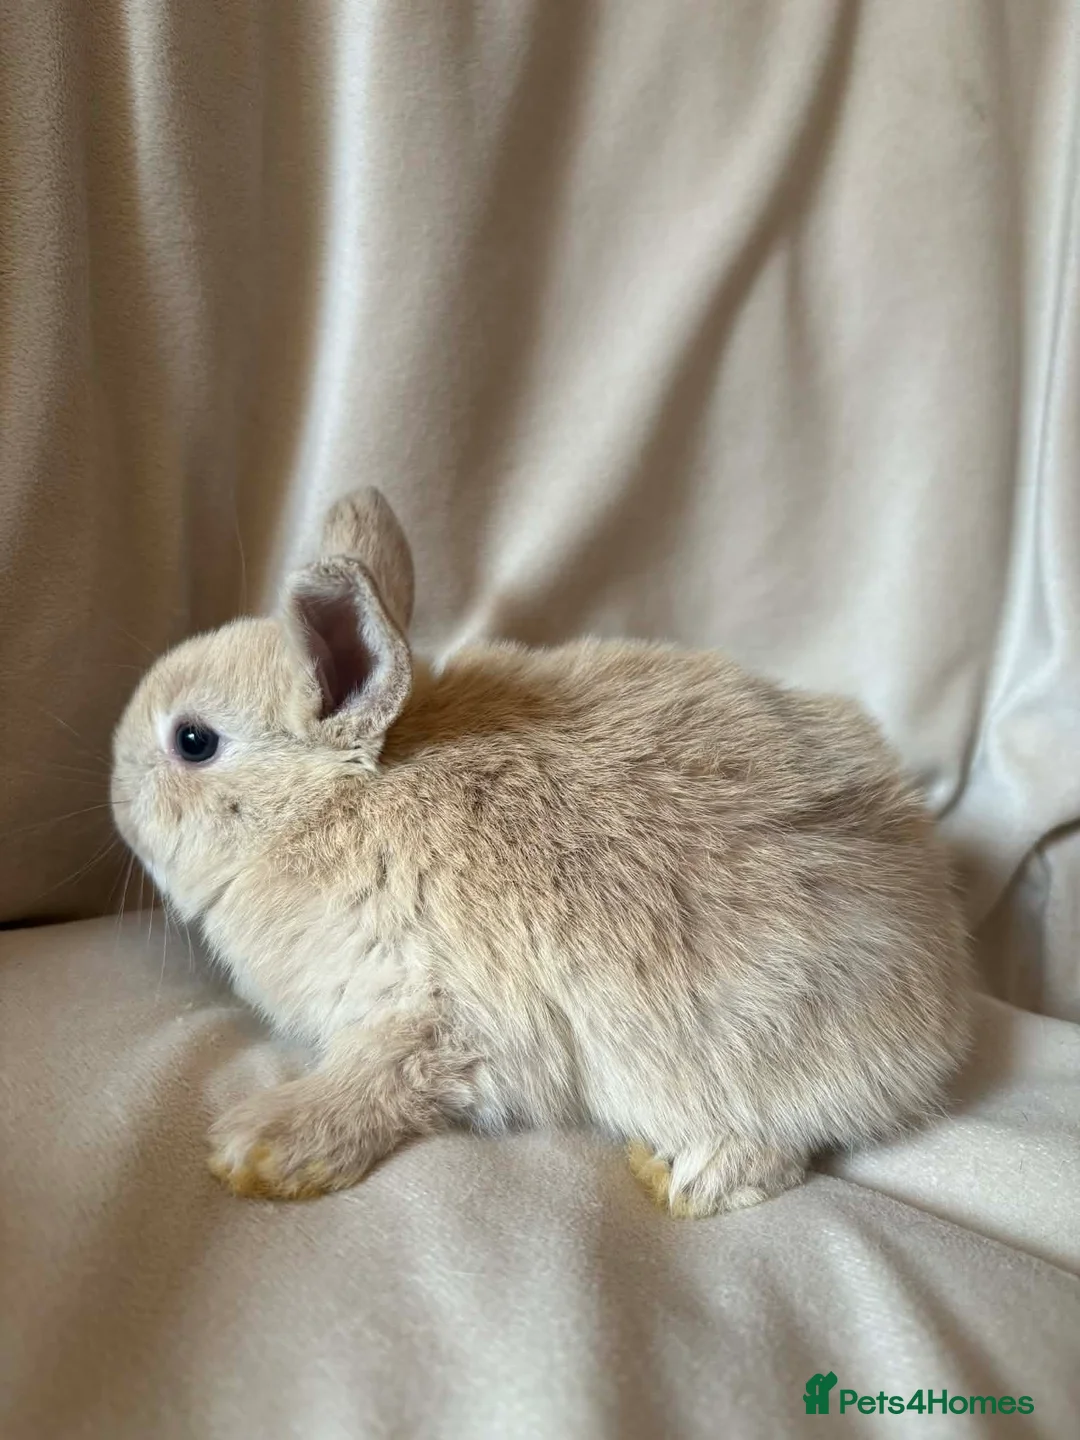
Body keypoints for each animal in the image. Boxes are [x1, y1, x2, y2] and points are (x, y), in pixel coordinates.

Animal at [110, 487, 973, 1216]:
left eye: (193, 741)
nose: (115, 796)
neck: (332, 806)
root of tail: (945, 987)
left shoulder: (441, 1014)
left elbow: (379, 1080)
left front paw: (257, 1148)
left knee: (790, 1142)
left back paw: (686, 1177)